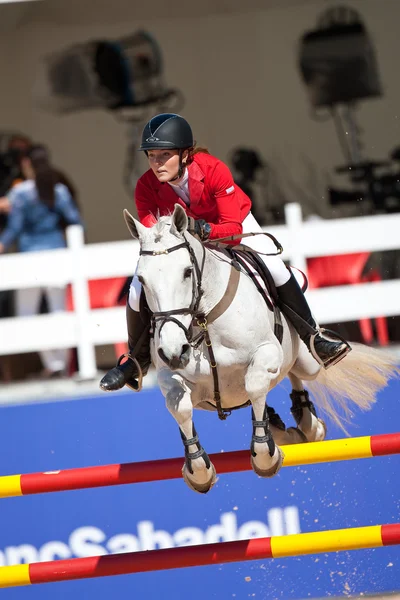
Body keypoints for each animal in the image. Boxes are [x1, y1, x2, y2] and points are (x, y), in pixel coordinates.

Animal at [123, 204, 398, 494]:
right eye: (142, 279)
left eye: (187, 271)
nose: (174, 351)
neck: (204, 318)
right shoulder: (171, 377)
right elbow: (180, 407)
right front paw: (198, 470)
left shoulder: (267, 352)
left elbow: (255, 385)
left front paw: (265, 456)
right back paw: (287, 426)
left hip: (308, 361)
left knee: (295, 372)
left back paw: (306, 421)